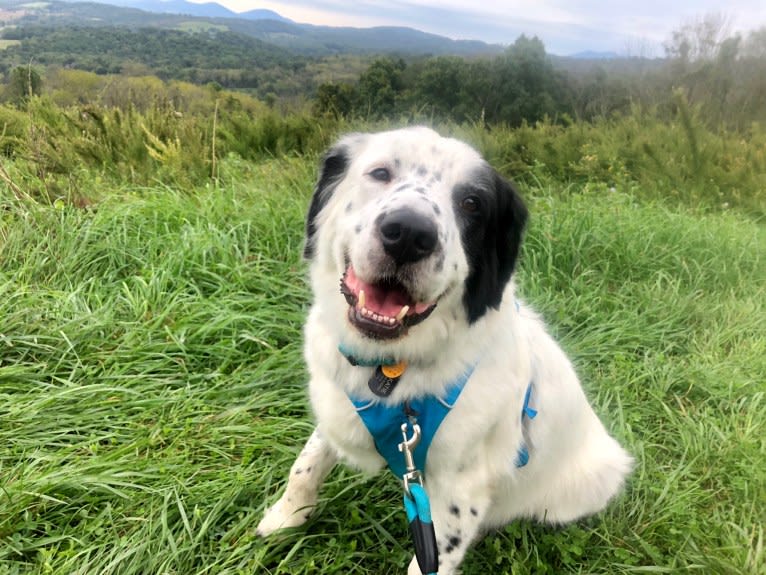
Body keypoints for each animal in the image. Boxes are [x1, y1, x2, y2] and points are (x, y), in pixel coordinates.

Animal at [255, 128, 632, 572]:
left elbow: (434, 554)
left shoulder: (460, 488)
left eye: (471, 204)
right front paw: (287, 515)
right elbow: (307, 462)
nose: (409, 234)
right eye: (380, 172)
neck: (391, 369)